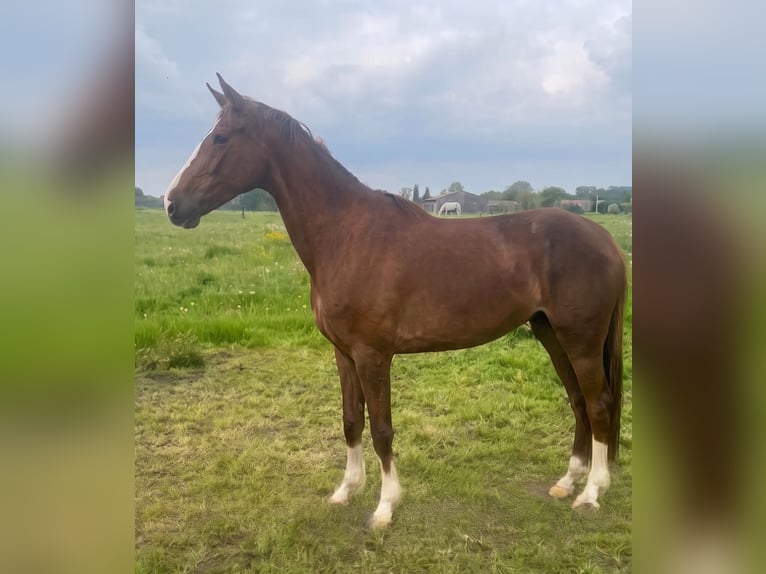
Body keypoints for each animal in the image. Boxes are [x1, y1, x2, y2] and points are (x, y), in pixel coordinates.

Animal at [164, 74, 627, 528]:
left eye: (220, 138)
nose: (171, 204)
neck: (347, 234)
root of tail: (605, 240)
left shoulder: (373, 355)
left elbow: (382, 429)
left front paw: (385, 506)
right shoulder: (344, 353)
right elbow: (352, 420)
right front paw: (346, 490)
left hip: (581, 342)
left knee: (599, 404)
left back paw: (591, 493)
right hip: (551, 334)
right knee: (579, 402)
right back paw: (567, 481)